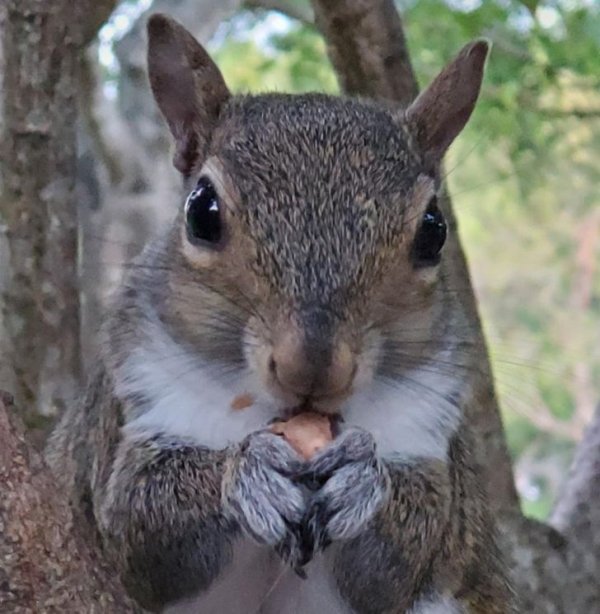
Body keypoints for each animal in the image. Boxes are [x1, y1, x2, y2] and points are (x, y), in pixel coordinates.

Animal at [47, 10, 516, 614]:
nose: (311, 368)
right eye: (201, 211)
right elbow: (139, 523)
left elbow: (396, 564)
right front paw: (246, 471)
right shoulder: (134, 404)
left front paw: (364, 476)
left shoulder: (428, 431)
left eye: (434, 231)